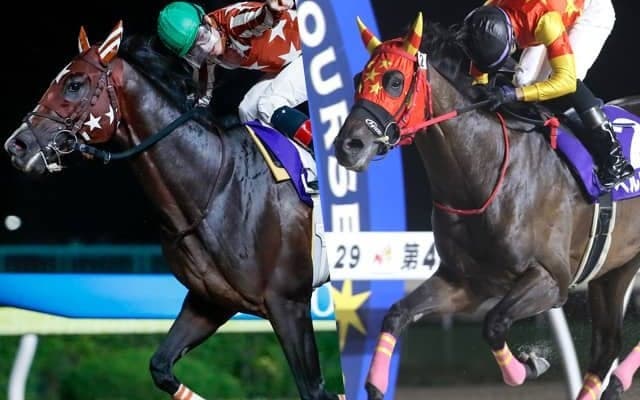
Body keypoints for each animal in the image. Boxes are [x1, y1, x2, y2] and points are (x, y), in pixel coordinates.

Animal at [3, 22, 340, 400]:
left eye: (75, 84)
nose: (17, 145)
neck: (219, 184)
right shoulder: (211, 301)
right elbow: (161, 367)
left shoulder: (289, 303)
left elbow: (315, 391)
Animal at [333, 13, 640, 400]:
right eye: (358, 79)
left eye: (394, 81)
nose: (348, 145)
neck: (481, 175)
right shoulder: (465, 282)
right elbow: (397, 314)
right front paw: (374, 385)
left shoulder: (552, 279)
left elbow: (494, 324)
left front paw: (531, 362)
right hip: (615, 269)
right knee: (606, 346)